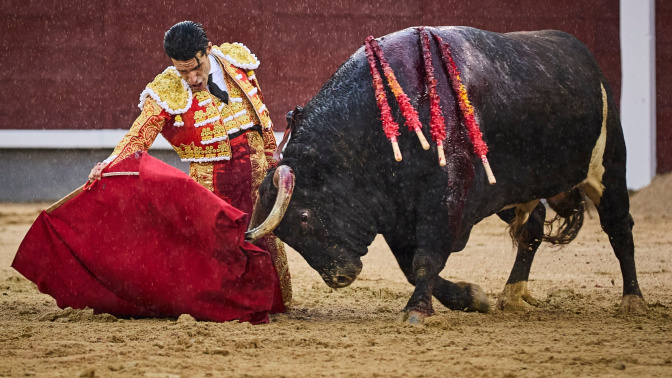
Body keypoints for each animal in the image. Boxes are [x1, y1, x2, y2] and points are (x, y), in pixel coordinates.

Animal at [256, 26, 644, 322]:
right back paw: (512, 295)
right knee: (531, 229)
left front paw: (417, 311)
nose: (338, 276)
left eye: (304, 217)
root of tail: (582, 53)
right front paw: (469, 297)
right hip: (516, 193)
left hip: (609, 166)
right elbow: (410, 264)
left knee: (619, 227)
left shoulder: (445, 199)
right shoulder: (397, 213)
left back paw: (633, 301)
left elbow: (426, 257)